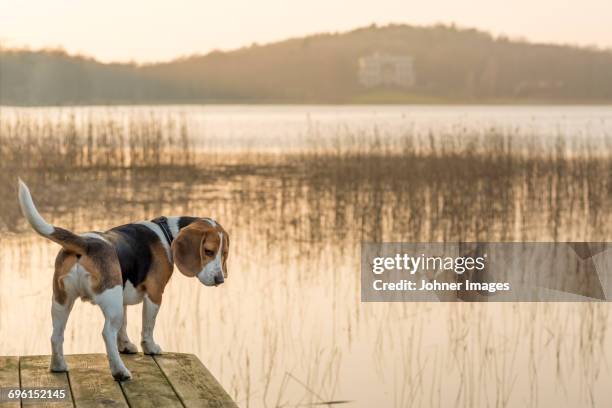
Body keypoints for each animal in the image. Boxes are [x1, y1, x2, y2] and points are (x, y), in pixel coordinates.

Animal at [19, 180, 231, 380]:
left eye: (223, 254)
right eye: (208, 251)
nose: (220, 279)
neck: (167, 233)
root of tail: (85, 243)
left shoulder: (123, 299)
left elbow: (124, 326)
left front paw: (126, 346)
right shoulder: (154, 294)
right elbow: (148, 326)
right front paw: (150, 348)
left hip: (62, 300)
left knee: (56, 335)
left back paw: (58, 366)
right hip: (110, 302)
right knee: (106, 333)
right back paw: (120, 371)